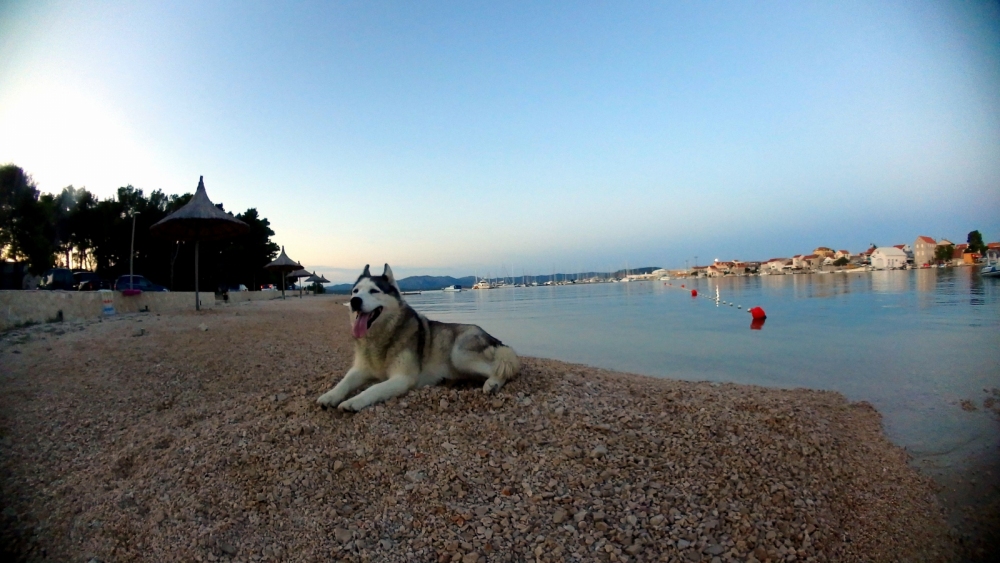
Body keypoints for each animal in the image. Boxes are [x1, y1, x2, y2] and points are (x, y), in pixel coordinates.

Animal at [317, 264, 520, 412]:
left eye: (374, 291)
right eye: (355, 291)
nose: (354, 301)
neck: (382, 336)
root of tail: (494, 338)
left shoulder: (402, 378)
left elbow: (373, 388)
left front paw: (353, 401)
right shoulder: (360, 369)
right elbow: (344, 382)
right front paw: (330, 396)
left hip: (459, 355)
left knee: (505, 369)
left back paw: (492, 384)